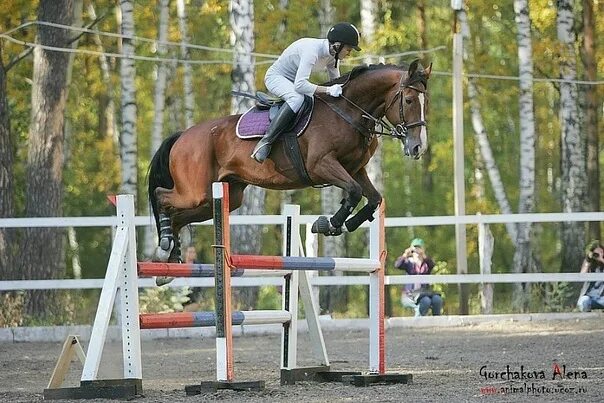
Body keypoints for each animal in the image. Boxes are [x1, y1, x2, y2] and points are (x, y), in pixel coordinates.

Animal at [147, 59, 430, 262]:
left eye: (425, 102)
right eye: (408, 100)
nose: (418, 147)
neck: (348, 111)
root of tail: (183, 135)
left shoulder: (356, 168)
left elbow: (372, 198)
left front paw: (347, 223)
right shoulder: (321, 165)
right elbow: (353, 191)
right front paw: (328, 224)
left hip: (224, 196)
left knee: (179, 217)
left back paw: (169, 258)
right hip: (196, 192)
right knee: (162, 196)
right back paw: (164, 246)